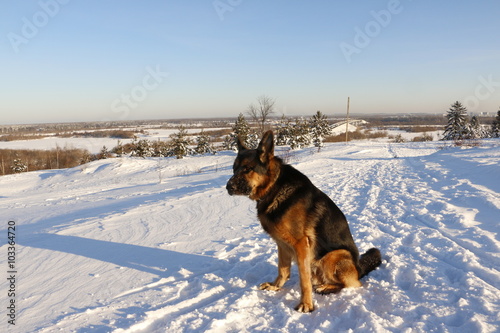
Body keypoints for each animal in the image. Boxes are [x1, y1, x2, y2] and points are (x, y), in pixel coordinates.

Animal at [227, 130, 382, 312]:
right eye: (234, 169)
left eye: (247, 169)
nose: (228, 187)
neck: (275, 187)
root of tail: (359, 268)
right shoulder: (282, 244)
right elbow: (283, 270)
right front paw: (275, 286)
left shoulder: (301, 244)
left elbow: (303, 279)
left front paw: (306, 304)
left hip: (333, 256)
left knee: (353, 284)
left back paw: (326, 287)